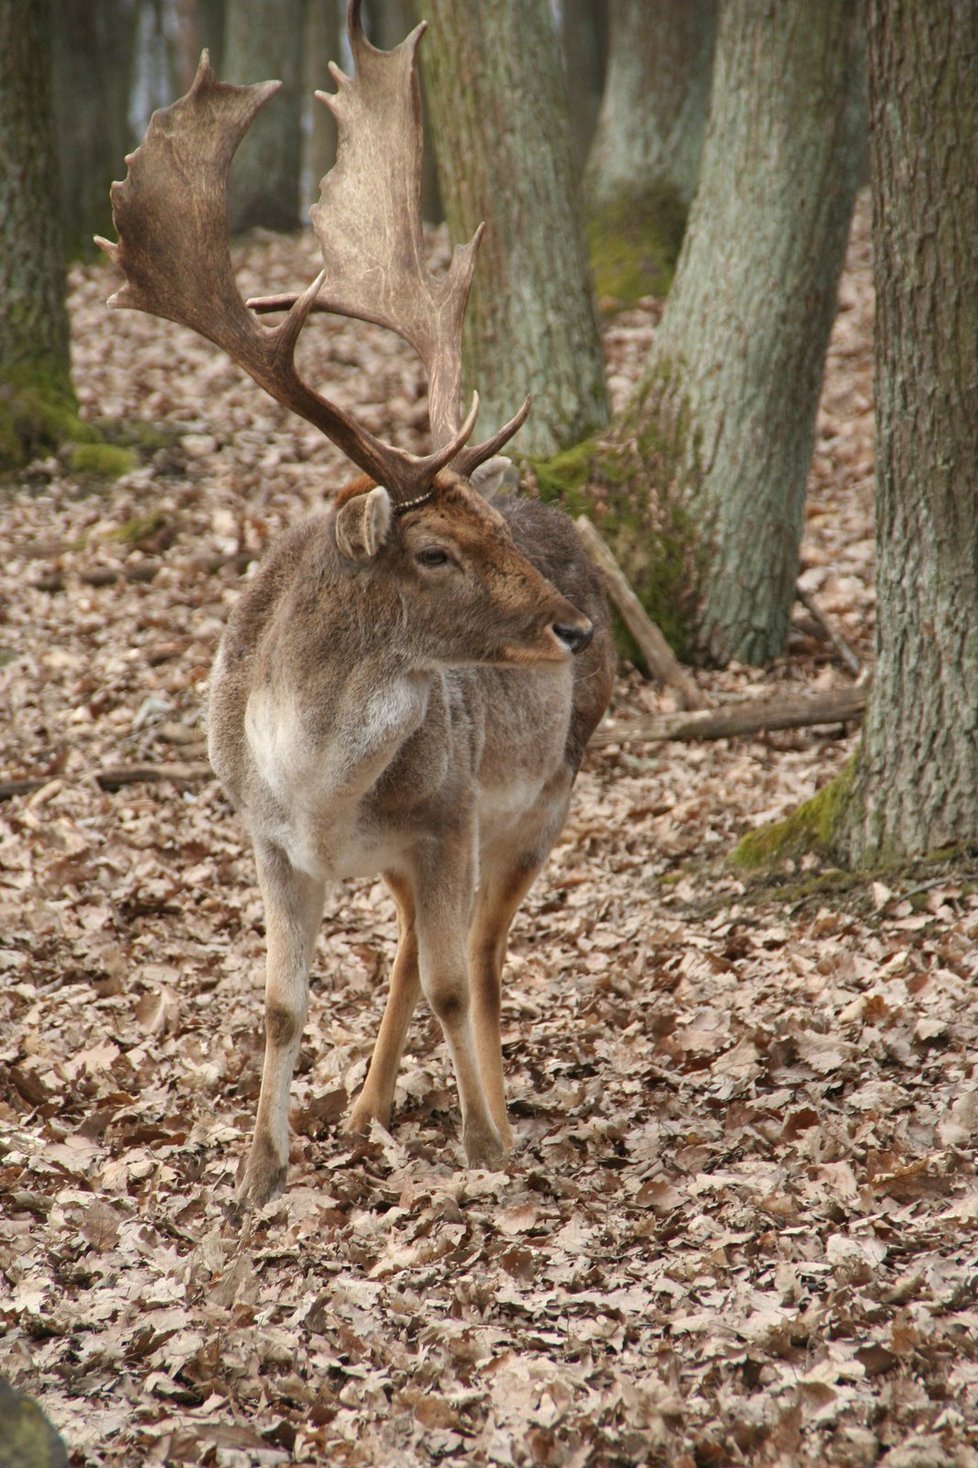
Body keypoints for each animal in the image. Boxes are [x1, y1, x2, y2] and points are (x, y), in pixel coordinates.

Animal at [100, 0, 616, 1203]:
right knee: (415, 952)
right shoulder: (270, 842)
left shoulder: (448, 815)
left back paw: (488, 1109)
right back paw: (369, 1105)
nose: (576, 627)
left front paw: (488, 1147)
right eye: (432, 549)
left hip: (542, 797)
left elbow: (454, 980)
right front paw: (259, 1170)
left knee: (476, 953)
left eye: (484, 530)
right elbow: (282, 1004)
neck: (318, 787)